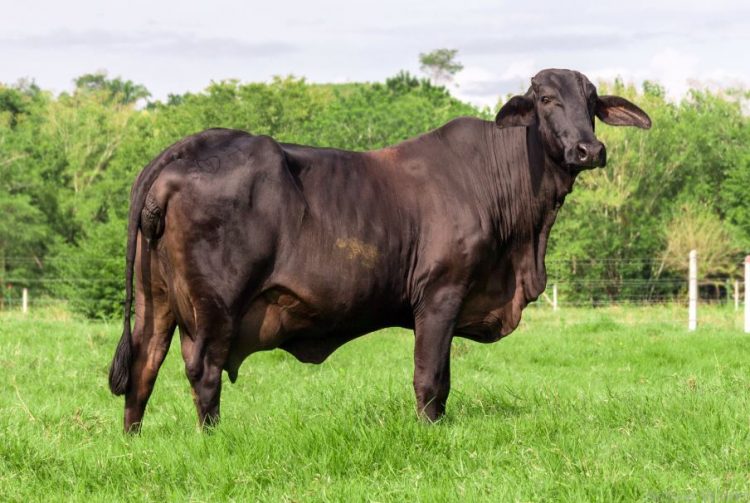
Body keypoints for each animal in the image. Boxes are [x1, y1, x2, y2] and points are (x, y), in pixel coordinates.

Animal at [108, 69, 651, 432]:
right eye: (546, 99)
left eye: (592, 101)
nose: (589, 150)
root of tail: (188, 147)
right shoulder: (441, 293)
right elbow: (431, 377)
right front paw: (429, 433)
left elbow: (443, 379)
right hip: (214, 306)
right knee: (203, 370)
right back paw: (212, 438)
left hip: (156, 300)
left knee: (143, 366)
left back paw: (134, 439)